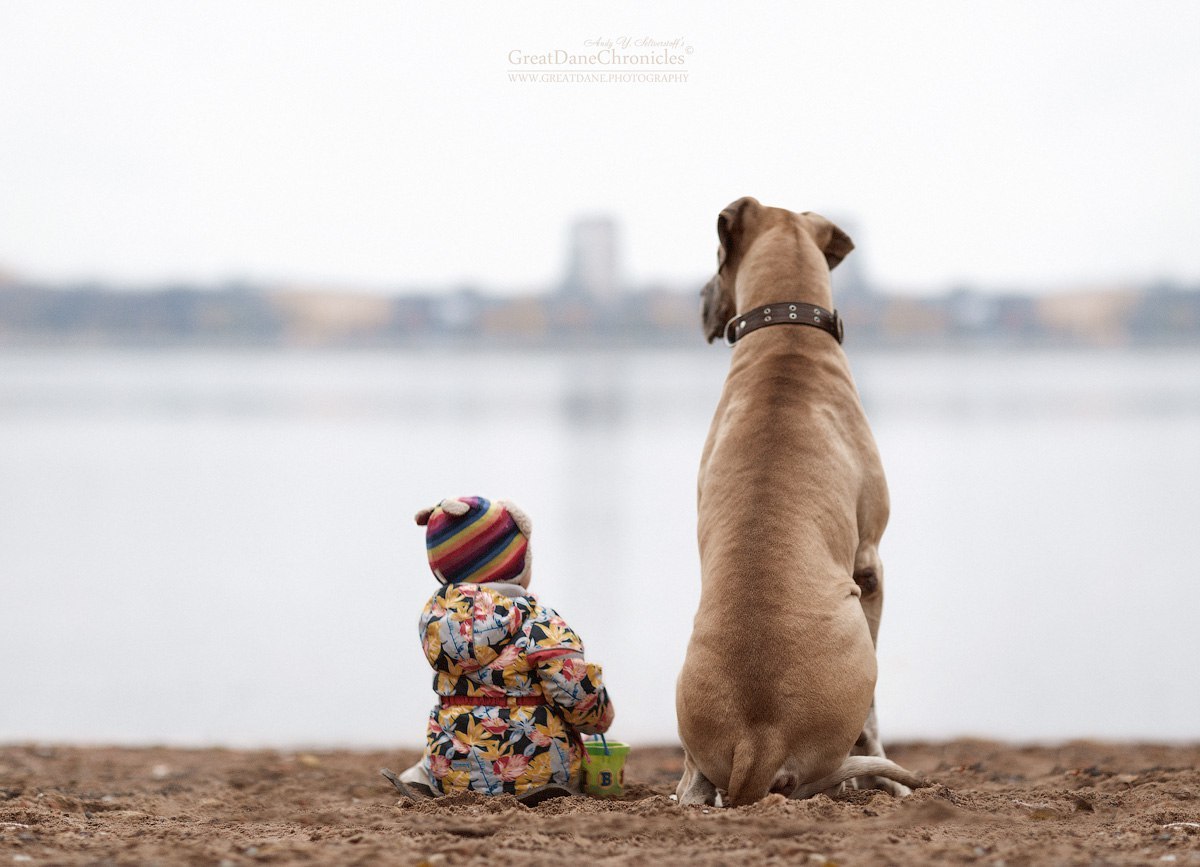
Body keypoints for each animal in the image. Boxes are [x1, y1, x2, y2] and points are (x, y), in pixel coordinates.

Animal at [681, 195, 921, 802]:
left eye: (715, 259)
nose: (699, 300)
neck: (786, 333)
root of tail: (757, 742)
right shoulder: (870, 564)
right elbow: (874, 718)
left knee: (692, 780)